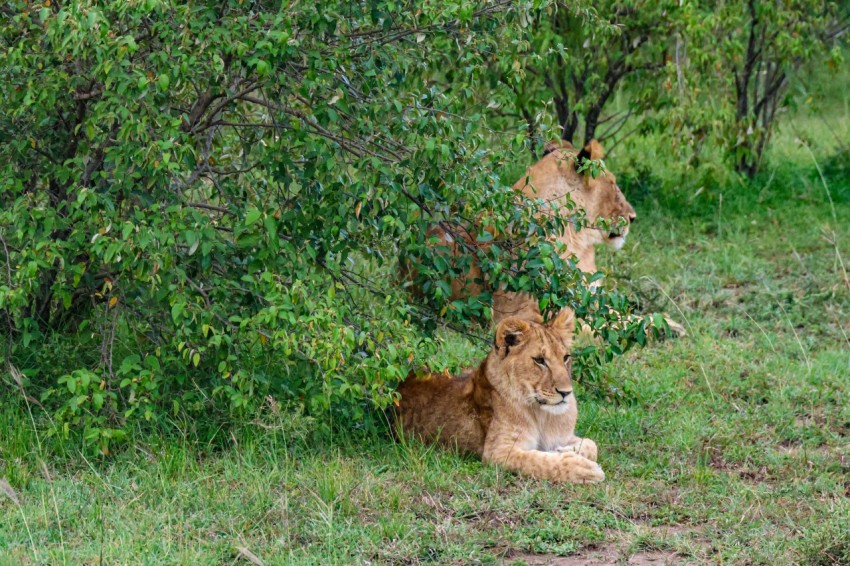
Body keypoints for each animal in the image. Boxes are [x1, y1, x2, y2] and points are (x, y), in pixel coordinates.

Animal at [395, 309, 605, 484]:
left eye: (565, 358)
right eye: (539, 360)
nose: (566, 392)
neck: (543, 415)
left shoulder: (564, 435)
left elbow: (592, 444)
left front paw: (567, 450)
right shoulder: (497, 452)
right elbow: (537, 461)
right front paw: (582, 468)